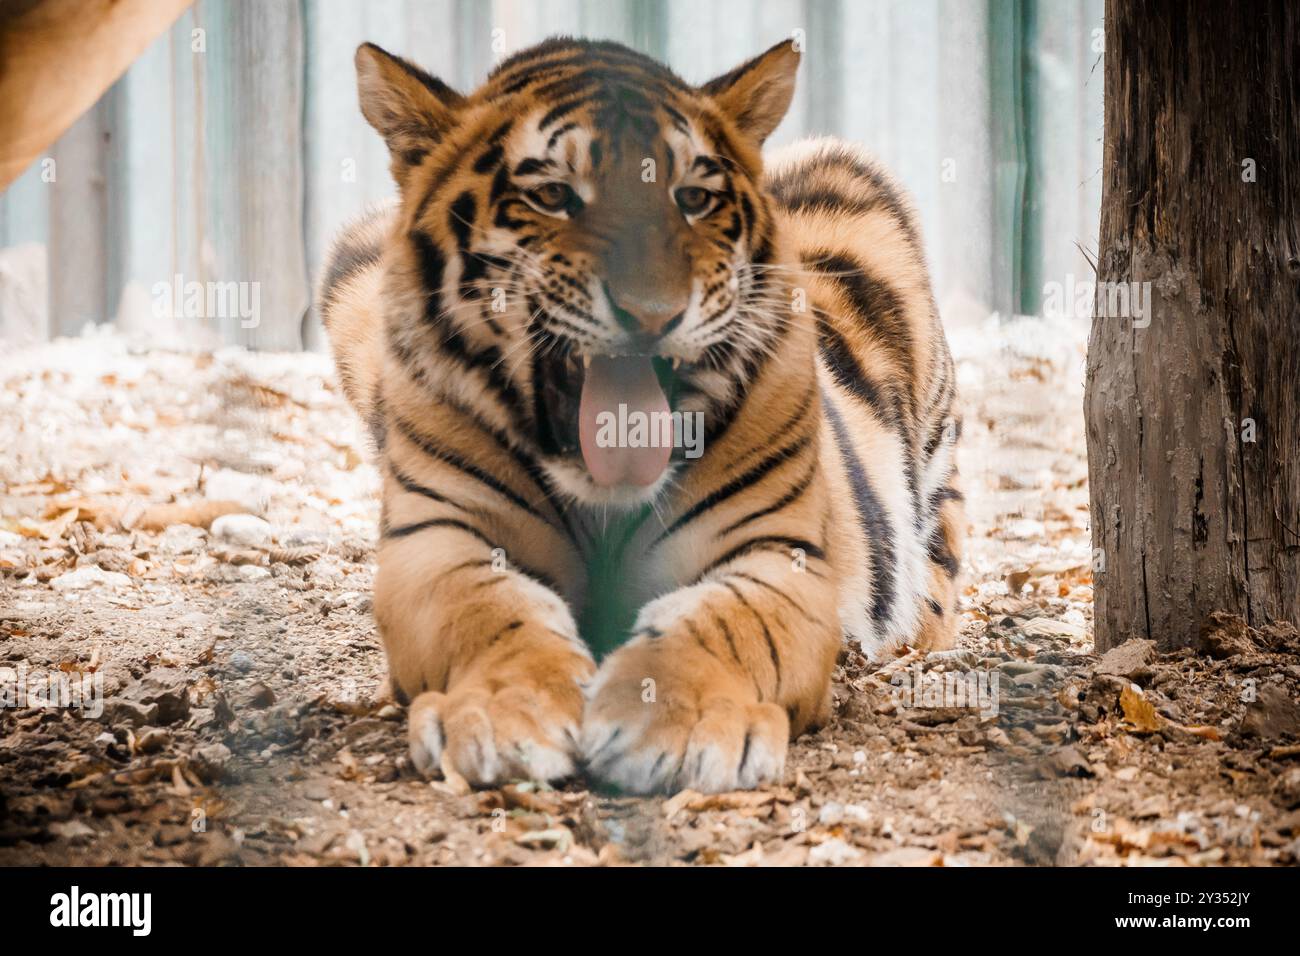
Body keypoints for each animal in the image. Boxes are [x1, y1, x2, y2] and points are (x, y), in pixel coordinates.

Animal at [318, 37, 961, 796]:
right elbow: (488, 613)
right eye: (552, 196)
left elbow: (724, 625)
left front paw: (680, 722)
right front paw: (504, 713)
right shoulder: (437, 542)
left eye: (694, 199)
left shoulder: (776, 555)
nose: (653, 313)